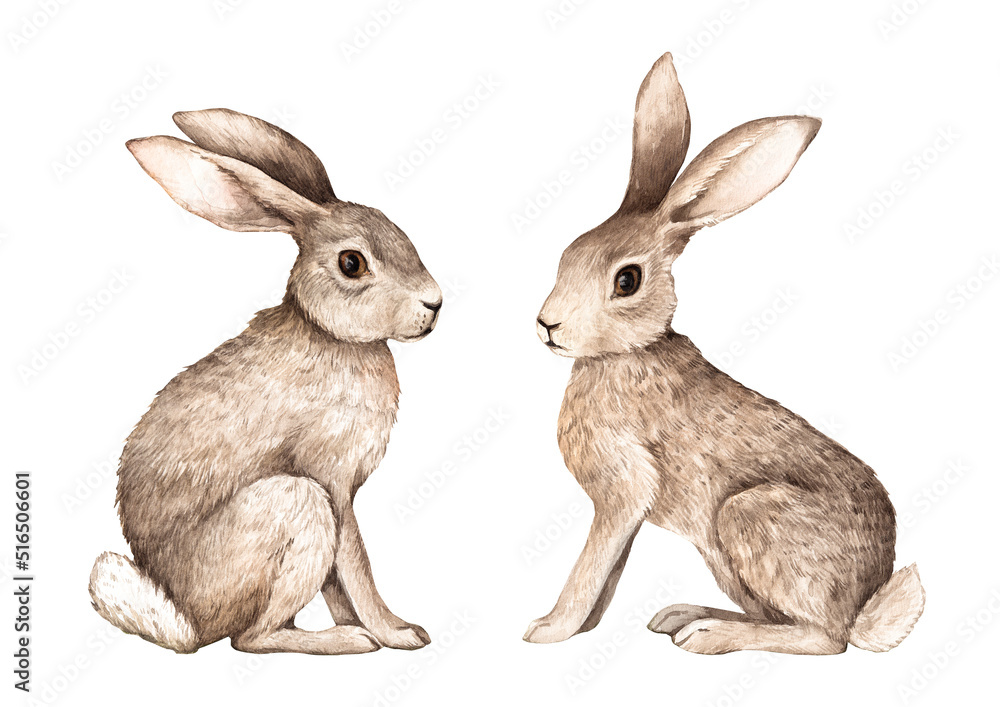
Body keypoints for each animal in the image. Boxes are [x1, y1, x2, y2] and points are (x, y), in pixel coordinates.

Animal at [89, 108, 443, 655]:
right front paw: (399, 633)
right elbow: (356, 565)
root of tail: (190, 624)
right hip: (296, 503)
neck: (327, 333)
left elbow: (338, 581)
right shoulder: (331, 482)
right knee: (250, 638)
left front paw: (377, 626)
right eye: (352, 263)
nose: (435, 302)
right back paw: (346, 641)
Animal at [524, 53, 924, 655]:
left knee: (824, 639)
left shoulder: (622, 491)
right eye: (568, 253)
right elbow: (610, 570)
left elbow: (591, 564)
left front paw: (548, 629)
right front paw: (586, 627)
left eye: (626, 280)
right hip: (722, 555)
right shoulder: (627, 509)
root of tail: (863, 608)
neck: (628, 352)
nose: (548, 325)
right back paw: (683, 616)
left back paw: (708, 635)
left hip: (747, 518)